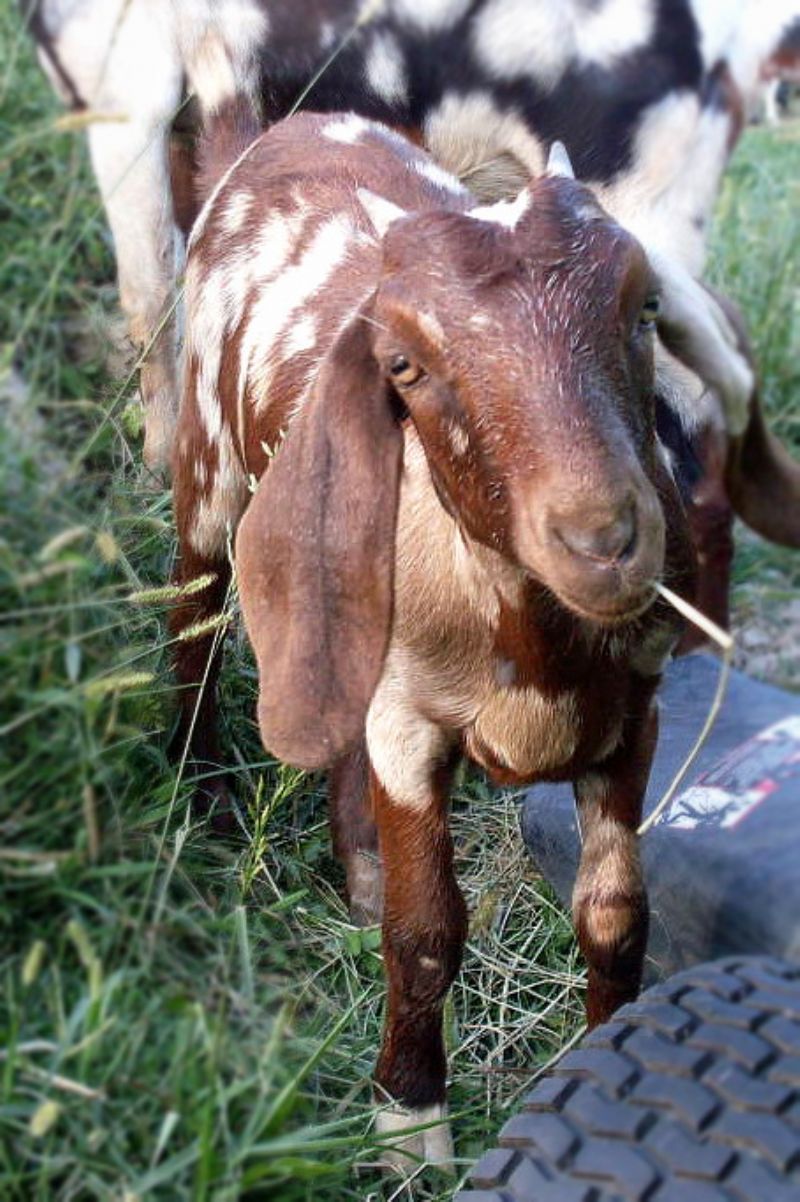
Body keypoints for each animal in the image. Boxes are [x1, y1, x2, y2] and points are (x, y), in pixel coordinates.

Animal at [171, 111, 695, 1161]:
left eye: (646, 306)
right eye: (405, 365)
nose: (606, 540)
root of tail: (284, 123)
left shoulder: (632, 716)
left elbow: (615, 918)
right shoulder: (411, 726)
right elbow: (425, 933)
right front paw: (408, 1122)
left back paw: (360, 869)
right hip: (204, 452)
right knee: (194, 603)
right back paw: (189, 788)